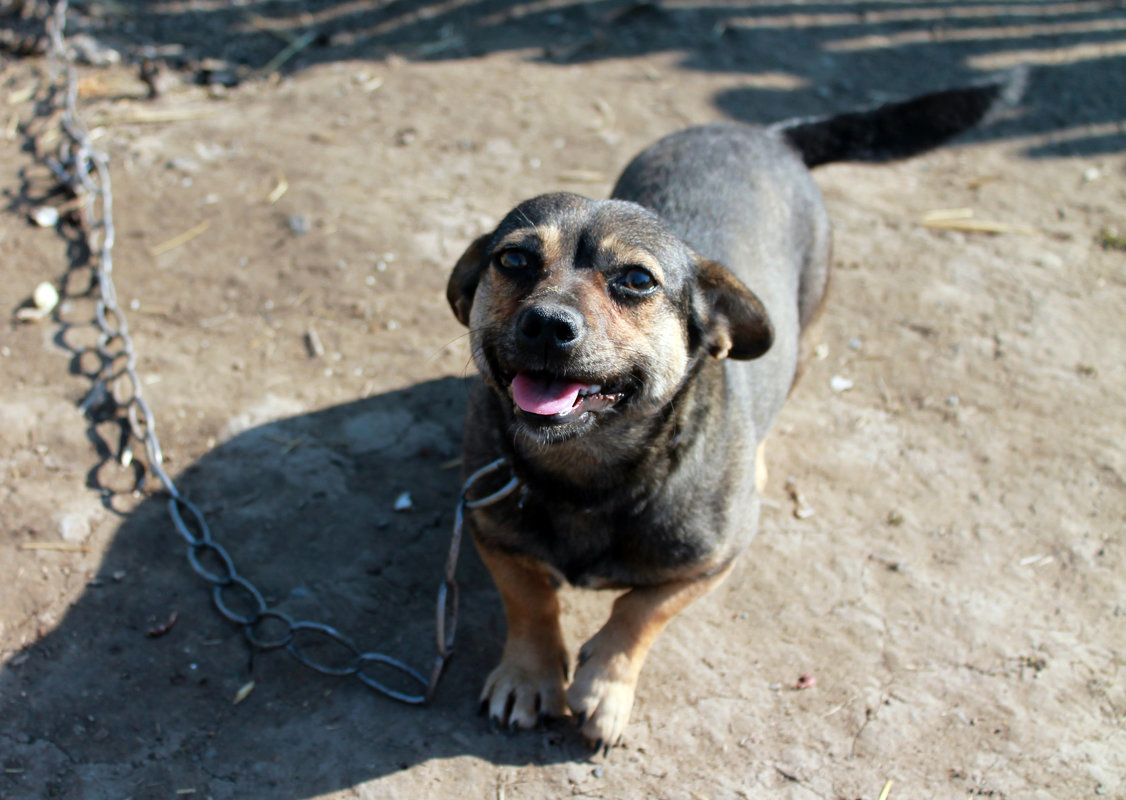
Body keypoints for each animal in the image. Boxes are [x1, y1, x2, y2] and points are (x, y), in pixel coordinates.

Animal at [443, 72, 1026, 757]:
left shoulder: (715, 560)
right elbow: (531, 598)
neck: (588, 474)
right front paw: (530, 674)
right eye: (512, 261)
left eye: (636, 280)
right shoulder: (491, 529)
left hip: (805, 327)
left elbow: (639, 612)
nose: (546, 324)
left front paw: (606, 684)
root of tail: (766, 134)